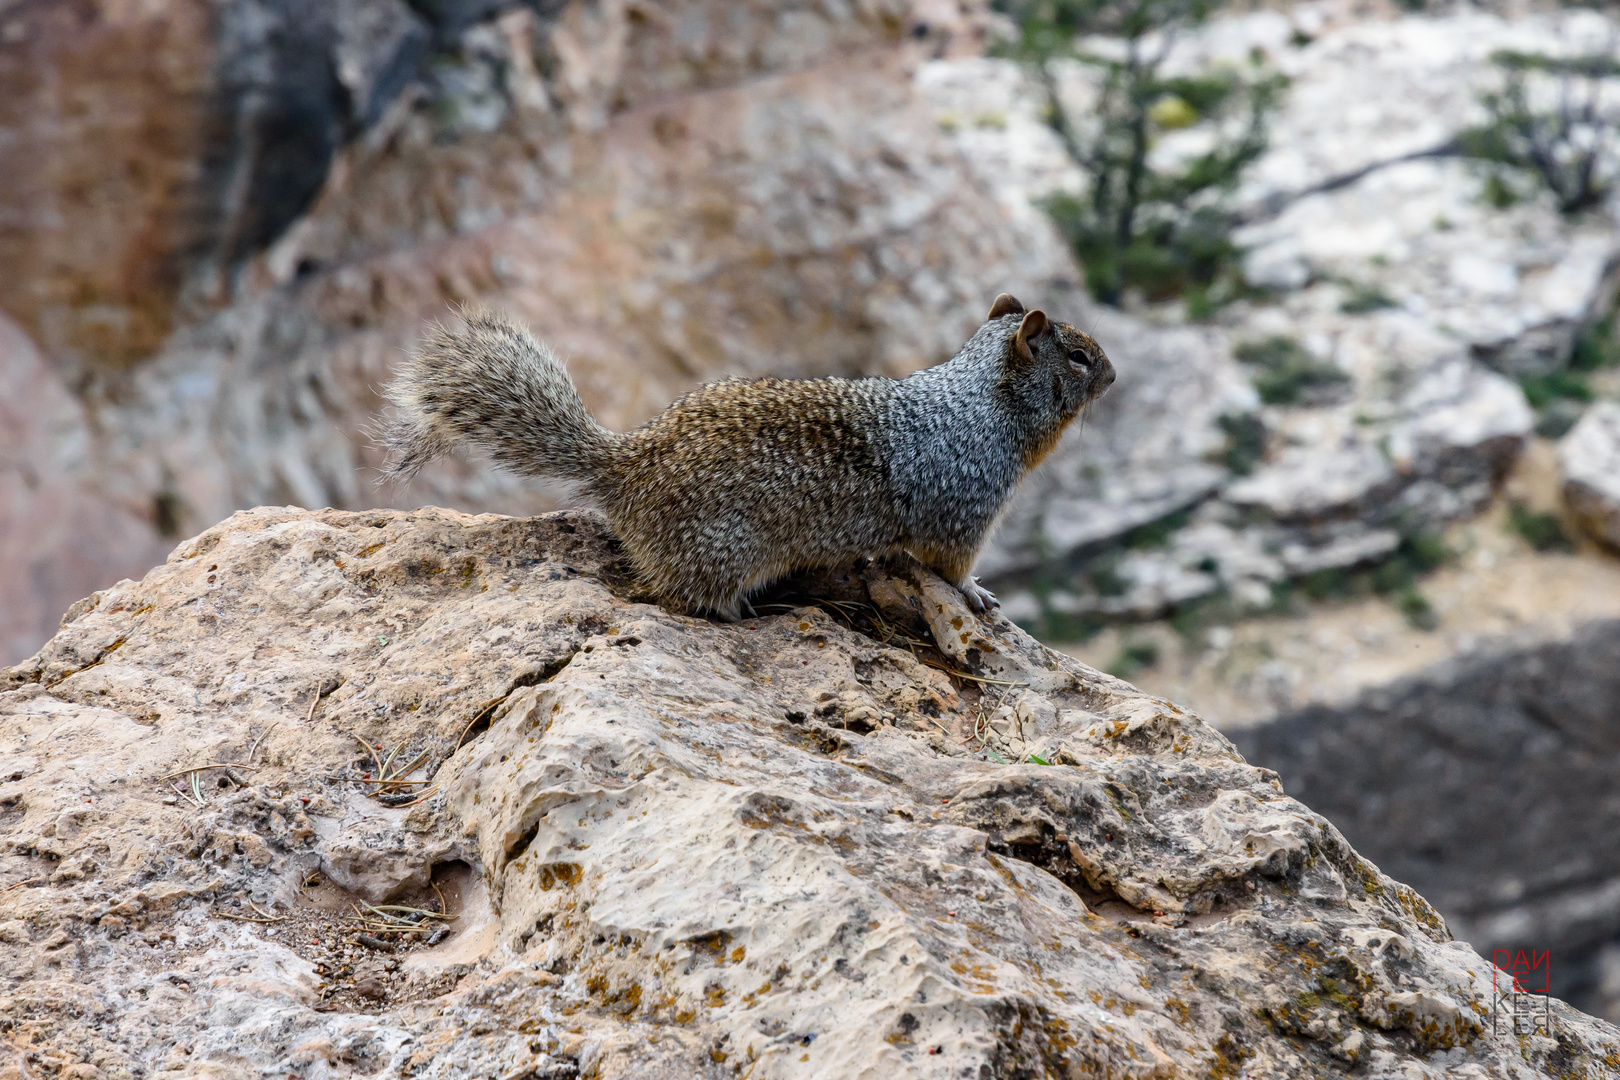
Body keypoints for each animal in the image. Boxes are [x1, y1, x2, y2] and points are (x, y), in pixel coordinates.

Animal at [379, 291, 1114, 621]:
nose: (1114, 374)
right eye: (1078, 356)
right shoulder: (968, 505)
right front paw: (980, 593)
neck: (983, 403)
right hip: (724, 549)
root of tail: (624, 465)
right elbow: (954, 565)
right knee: (685, 596)